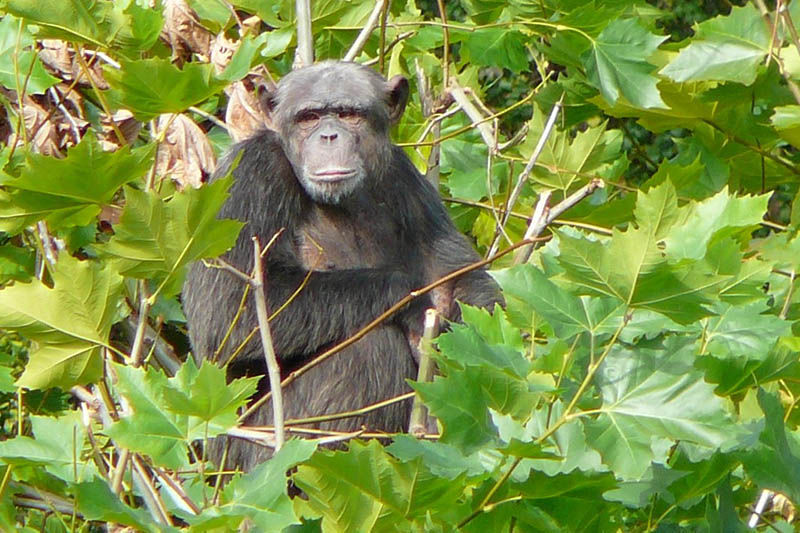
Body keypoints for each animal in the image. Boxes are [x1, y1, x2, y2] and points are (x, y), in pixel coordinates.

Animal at [185, 61, 504, 470]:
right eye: (308, 117)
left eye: (350, 114)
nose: (329, 135)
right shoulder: (247, 177)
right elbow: (228, 309)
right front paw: (414, 305)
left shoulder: (407, 179)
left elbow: (460, 279)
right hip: (251, 452)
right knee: (368, 347)